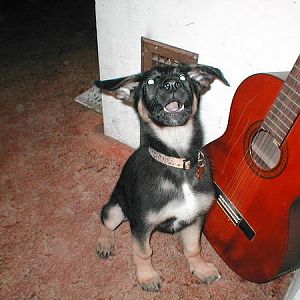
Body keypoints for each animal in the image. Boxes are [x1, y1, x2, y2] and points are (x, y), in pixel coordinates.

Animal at [95, 63, 229, 290]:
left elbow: (193, 248)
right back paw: (105, 242)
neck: (177, 160)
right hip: (116, 209)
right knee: (105, 220)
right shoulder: (141, 224)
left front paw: (201, 269)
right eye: (150, 81)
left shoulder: (196, 217)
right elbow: (142, 252)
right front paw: (147, 276)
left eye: (183, 77)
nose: (172, 84)